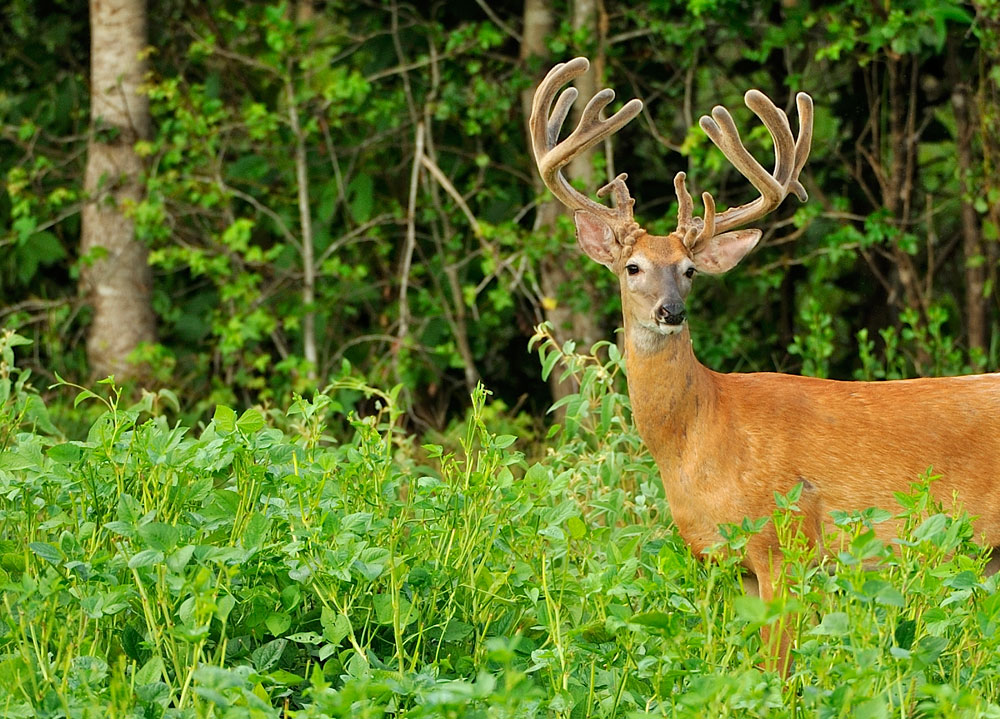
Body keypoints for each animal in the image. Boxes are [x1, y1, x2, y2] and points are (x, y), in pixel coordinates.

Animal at [536, 57, 1000, 676]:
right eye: (632, 266)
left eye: (689, 270)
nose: (671, 311)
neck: (699, 435)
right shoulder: (737, 567)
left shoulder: (786, 539)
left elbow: (779, 669)